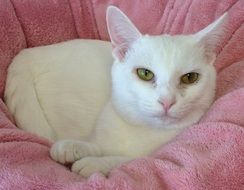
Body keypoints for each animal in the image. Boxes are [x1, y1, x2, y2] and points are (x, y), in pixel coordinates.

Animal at [3, 6, 226, 178]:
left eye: (190, 78)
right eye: (145, 73)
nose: (166, 101)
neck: (141, 129)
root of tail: (27, 54)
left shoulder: (153, 156)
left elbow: (127, 160)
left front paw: (95, 163)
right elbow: (98, 145)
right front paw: (73, 148)